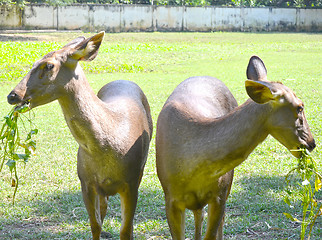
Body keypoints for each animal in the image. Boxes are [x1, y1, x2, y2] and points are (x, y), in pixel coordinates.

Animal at [6, 32, 153, 240]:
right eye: (33, 62)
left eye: (49, 65)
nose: (12, 95)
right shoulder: (85, 181)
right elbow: (95, 224)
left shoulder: (131, 181)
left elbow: (125, 229)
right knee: (104, 208)